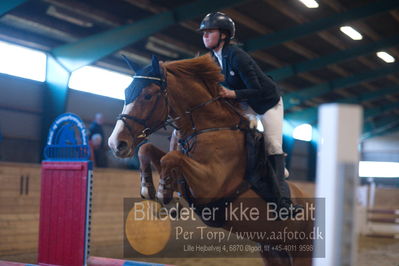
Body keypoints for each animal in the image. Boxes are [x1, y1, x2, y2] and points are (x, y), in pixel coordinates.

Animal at [108, 54, 316, 266]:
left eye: (148, 96)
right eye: (126, 92)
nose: (116, 144)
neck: (205, 127)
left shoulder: (210, 185)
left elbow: (171, 158)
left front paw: (163, 194)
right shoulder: (185, 179)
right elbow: (148, 150)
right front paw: (148, 188)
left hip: (303, 251)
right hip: (272, 250)